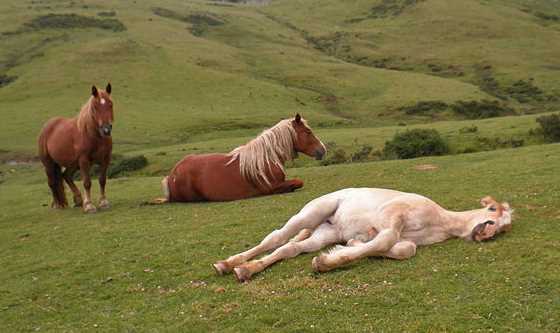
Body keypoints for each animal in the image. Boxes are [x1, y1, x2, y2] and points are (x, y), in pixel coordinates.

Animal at [38, 83, 114, 213]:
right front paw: (89, 205)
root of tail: (47, 127)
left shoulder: (106, 158)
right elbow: (87, 182)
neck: (94, 136)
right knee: (52, 182)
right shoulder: (83, 160)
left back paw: (78, 200)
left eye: (110, 104)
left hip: (73, 163)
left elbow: (102, 180)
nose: (106, 130)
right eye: (95, 107)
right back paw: (58, 205)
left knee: (66, 176)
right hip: (49, 164)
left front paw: (103, 202)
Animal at [160, 114, 326, 202]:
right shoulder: (271, 186)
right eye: (308, 131)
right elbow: (298, 182)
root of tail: (172, 173)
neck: (266, 158)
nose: (323, 150)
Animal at [213, 188, 512, 282]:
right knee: (276, 237)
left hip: (324, 232)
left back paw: (245, 269)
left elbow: (404, 249)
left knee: (290, 249)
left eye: (505, 226)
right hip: (313, 211)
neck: (440, 221)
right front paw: (326, 262)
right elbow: (386, 240)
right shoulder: (391, 215)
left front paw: (351, 245)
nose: (487, 232)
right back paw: (227, 264)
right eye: (492, 209)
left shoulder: (406, 238)